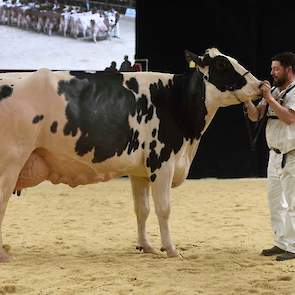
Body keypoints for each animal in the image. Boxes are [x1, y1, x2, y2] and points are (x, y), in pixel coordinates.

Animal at [0, 48, 264, 264]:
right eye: (222, 64)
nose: (261, 84)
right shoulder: (162, 163)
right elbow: (164, 209)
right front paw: (171, 250)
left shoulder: (140, 171)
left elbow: (142, 209)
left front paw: (146, 247)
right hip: (10, 163)